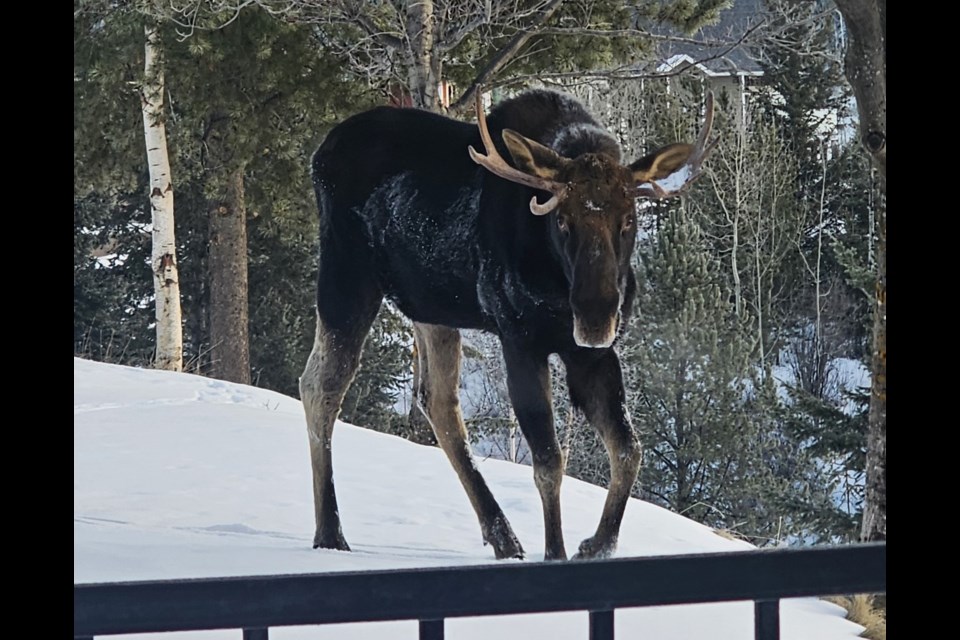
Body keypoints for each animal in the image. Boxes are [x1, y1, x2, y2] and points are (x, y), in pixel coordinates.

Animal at [300, 87, 712, 556]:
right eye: (562, 220)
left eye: (628, 219)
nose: (596, 316)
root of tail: (320, 153)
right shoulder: (521, 338)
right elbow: (549, 461)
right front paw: (556, 553)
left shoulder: (591, 354)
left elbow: (628, 449)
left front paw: (597, 544)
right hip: (347, 275)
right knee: (322, 385)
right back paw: (330, 532)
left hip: (429, 305)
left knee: (436, 400)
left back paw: (502, 534)